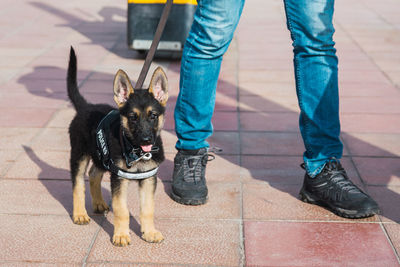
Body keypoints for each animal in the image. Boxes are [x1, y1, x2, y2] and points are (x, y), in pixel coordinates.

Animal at [67, 47, 167, 247]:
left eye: (153, 116)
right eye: (133, 117)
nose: (146, 140)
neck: (136, 152)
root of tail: (86, 107)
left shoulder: (148, 178)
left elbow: (148, 208)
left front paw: (149, 232)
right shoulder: (119, 179)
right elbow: (122, 210)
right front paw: (121, 235)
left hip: (101, 157)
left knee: (93, 174)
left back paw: (98, 203)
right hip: (79, 155)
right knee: (78, 184)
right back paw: (80, 213)